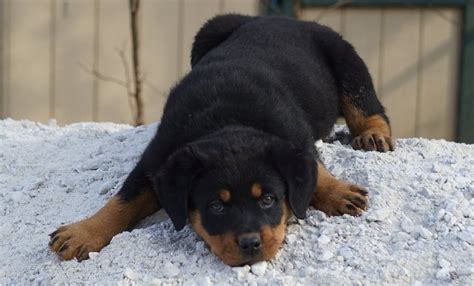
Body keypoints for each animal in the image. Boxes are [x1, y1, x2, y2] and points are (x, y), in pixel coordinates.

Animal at [50, 15, 394, 266]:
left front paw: (338, 191)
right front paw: (82, 232)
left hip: (345, 57)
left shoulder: (295, 136)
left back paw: (373, 135)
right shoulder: (156, 160)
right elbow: (123, 200)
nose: (250, 243)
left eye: (268, 199)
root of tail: (277, 18)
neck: (225, 120)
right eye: (215, 206)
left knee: (367, 103)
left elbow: (314, 169)